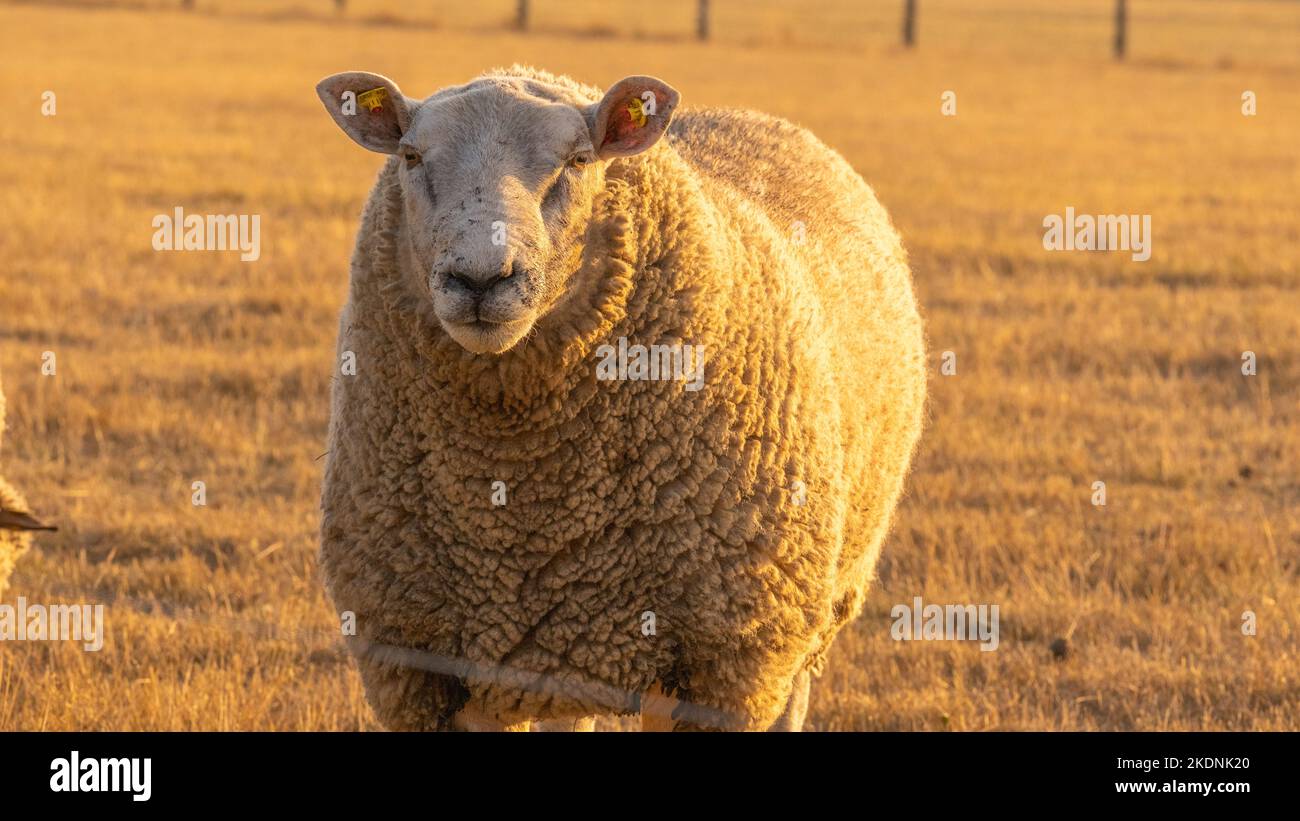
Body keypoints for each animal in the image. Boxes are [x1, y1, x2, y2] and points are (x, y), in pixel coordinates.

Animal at [315, 66, 926, 731]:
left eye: (579, 160)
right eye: (410, 156)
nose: (480, 279)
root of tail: (757, 117)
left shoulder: (728, 662)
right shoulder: (421, 662)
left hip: (805, 608)